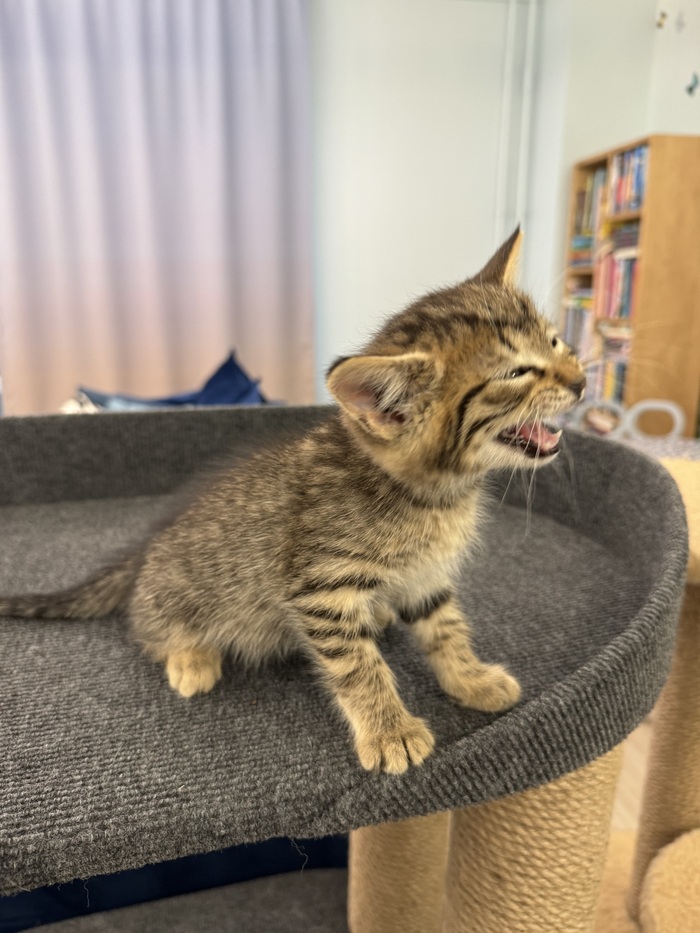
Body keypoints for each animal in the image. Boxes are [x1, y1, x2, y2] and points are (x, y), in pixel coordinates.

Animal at [0, 229, 585, 773]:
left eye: (557, 342)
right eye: (515, 374)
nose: (581, 381)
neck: (433, 495)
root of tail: (148, 547)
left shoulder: (426, 576)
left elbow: (446, 629)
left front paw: (470, 678)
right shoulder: (321, 586)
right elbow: (358, 666)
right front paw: (389, 730)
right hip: (177, 596)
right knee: (146, 628)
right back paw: (190, 656)